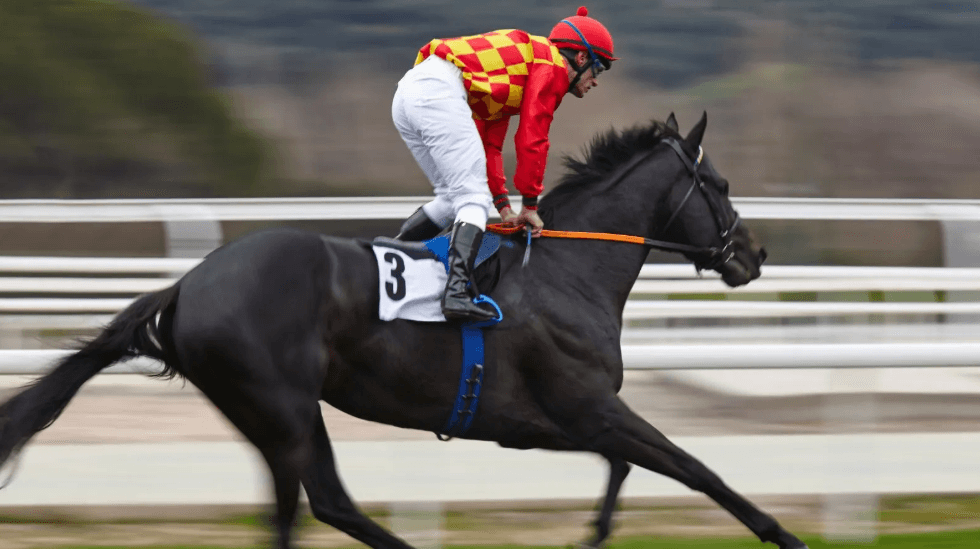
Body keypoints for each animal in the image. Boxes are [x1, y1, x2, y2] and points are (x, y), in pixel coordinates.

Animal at [0, 112, 807, 549]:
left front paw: (596, 532)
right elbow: (695, 467)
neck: (566, 268)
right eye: (721, 185)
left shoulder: (555, 422)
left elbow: (626, 468)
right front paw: (784, 531)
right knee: (311, 506)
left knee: (310, 506)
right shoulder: (587, 406)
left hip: (278, 412)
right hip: (283, 408)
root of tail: (189, 283)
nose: (753, 254)